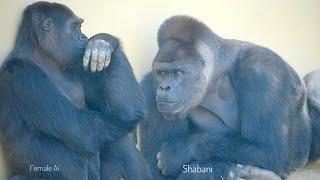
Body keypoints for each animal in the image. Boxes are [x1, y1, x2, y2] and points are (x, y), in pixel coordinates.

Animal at [0, 1, 151, 180]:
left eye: (80, 27)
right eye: (74, 27)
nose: (84, 37)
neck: (43, 55)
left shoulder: (80, 63)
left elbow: (123, 110)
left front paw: (104, 43)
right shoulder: (23, 75)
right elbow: (84, 129)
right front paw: (102, 42)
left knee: (119, 137)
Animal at [138, 15, 320, 180]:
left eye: (178, 72)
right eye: (161, 73)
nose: (164, 87)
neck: (217, 73)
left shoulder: (263, 73)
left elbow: (268, 150)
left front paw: (181, 150)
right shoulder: (149, 89)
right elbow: (154, 172)